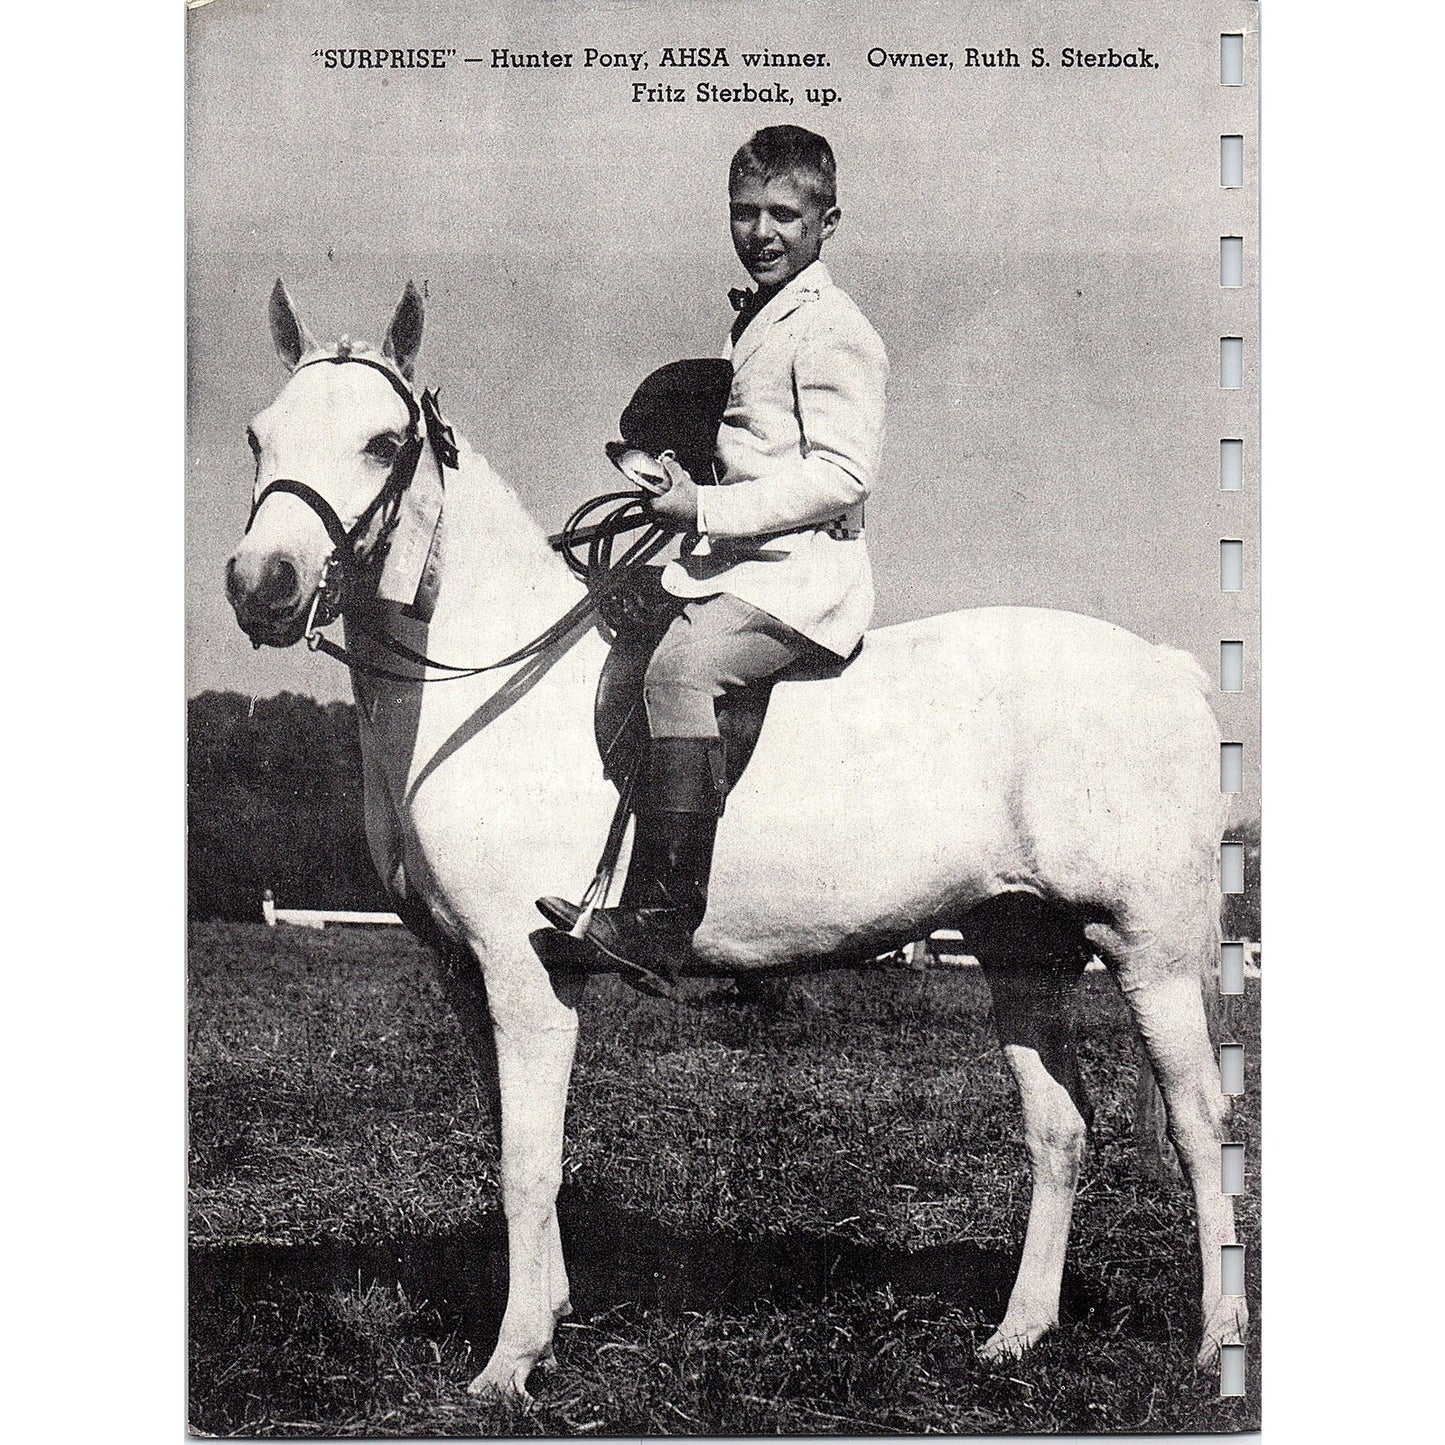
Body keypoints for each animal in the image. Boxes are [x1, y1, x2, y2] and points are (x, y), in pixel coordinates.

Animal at [224, 280, 1247, 1399]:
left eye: (379, 443)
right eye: (257, 435)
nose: (261, 585)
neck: (482, 689)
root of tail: (1164, 665)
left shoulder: (524, 970)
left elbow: (526, 1161)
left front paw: (511, 1358)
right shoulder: (462, 972)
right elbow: (509, 1143)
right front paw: (546, 1312)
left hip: (1147, 950)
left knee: (1200, 1124)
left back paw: (1215, 1342)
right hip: (1019, 944)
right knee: (1058, 1130)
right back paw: (1016, 1334)